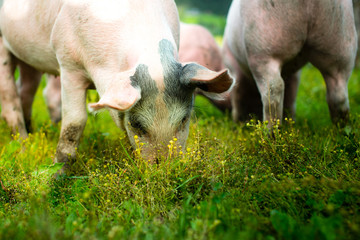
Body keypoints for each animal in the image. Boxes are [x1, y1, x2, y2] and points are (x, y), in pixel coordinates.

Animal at [0, 0, 233, 172]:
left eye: (184, 119)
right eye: (137, 124)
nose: (165, 171)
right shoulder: (68, 63)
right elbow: (75, 121)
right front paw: (57, 171)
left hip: (29, 60)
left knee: (26, 90)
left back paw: (31, 135)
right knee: (10, 96)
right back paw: (23, 147)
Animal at [225, 0, 358, 126]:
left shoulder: (231, 61)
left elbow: (237, 94)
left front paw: (237, 124)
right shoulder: (296, 75)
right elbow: (291, 95)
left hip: (262, 44)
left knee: (273, 90)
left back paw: (270, 133)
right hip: (341, 42)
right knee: (339, 95)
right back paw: (342, 131)